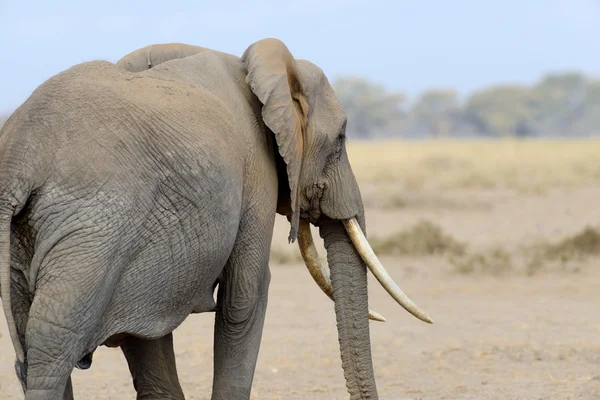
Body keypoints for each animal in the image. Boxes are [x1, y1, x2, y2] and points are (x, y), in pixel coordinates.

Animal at [0, 38, 432, 400]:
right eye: (341, 140)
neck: (261, 72)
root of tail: (18, 159)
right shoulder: (255, 169)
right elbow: (246, 295)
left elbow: (146, 330)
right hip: (93, 235)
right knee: (52, 345)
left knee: (30, 346)